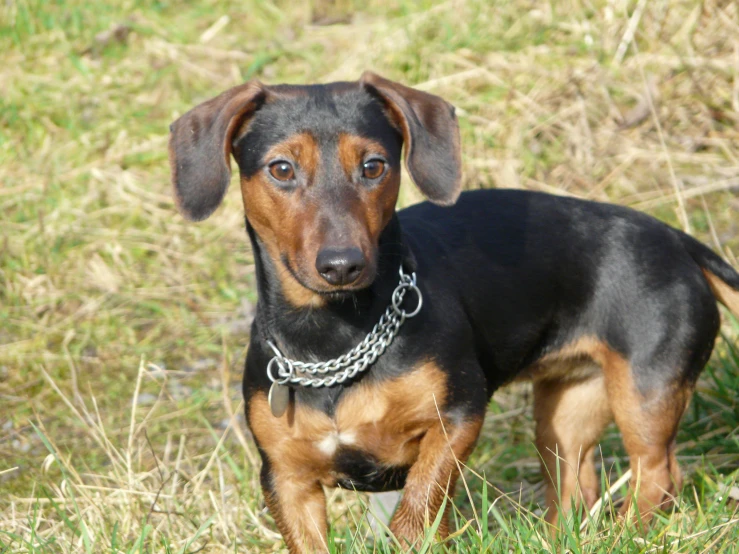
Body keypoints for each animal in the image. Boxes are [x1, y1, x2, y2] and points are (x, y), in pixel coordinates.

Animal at [168, 73, 739, 552]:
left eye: (373, 166)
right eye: (281, 169)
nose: (343, 264)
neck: (333, 339)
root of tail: (679, 241)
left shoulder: (458, 416)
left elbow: (416, 512)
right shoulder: (286, 478)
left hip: (646, 389)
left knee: (658, 475)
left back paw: (628, 533)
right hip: (567, 415)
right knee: (576, 492)